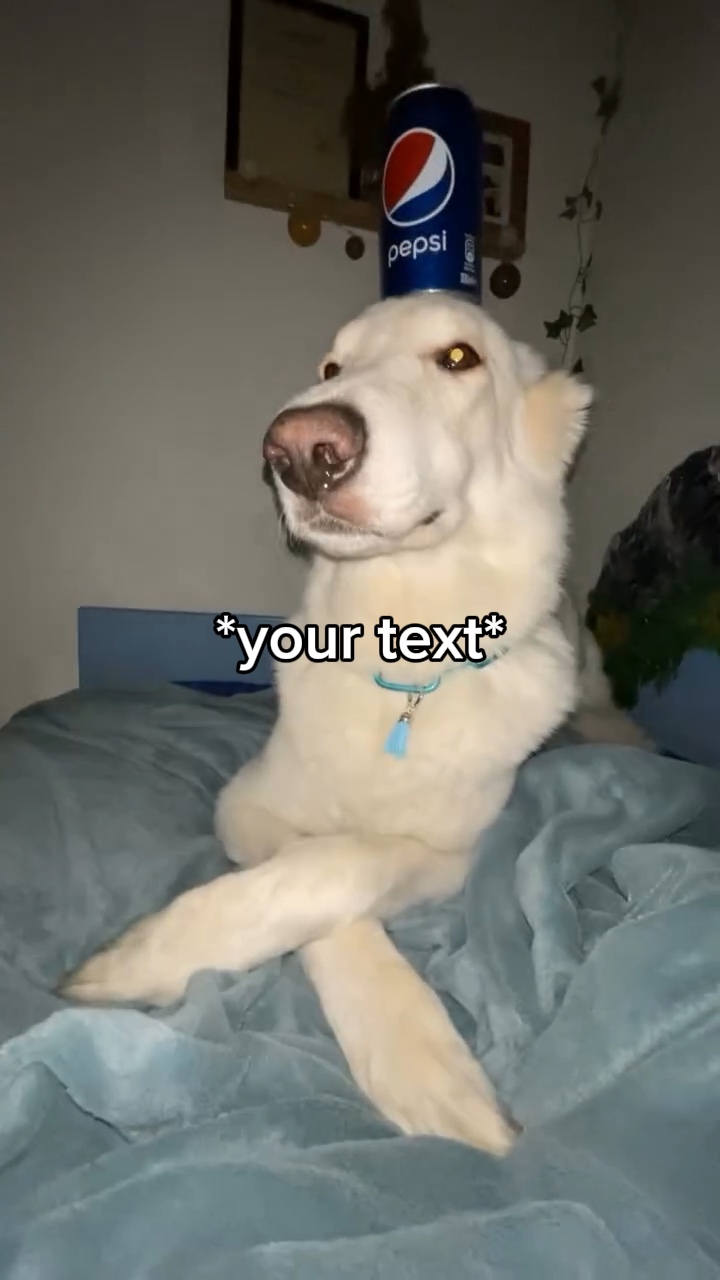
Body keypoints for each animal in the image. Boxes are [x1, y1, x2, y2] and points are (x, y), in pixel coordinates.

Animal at [62, 293, 644, 1154]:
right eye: (332, 366)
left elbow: (341, 861)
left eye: (460, 358)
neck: (400, 651)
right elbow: (307, 873)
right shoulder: (245, 804)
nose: (300, 448)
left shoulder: (455, 852)